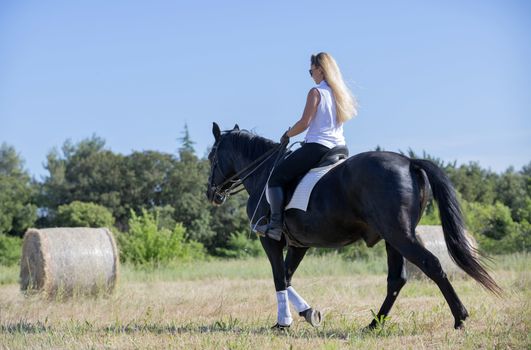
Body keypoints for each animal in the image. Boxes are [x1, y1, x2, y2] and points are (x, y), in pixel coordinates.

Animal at [206, 123, 500, 330]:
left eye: (211, 157)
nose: (212, 194)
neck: (263, 173)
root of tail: (409, 162)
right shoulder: (300, 244)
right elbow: (287, 277)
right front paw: (308, 313)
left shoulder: (270, 239)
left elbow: (279, 278)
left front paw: (283, 323)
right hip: (394, 237)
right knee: (397, 279)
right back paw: (374, 324)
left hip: (400, 234)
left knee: (432, 265)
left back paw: (459, 318)